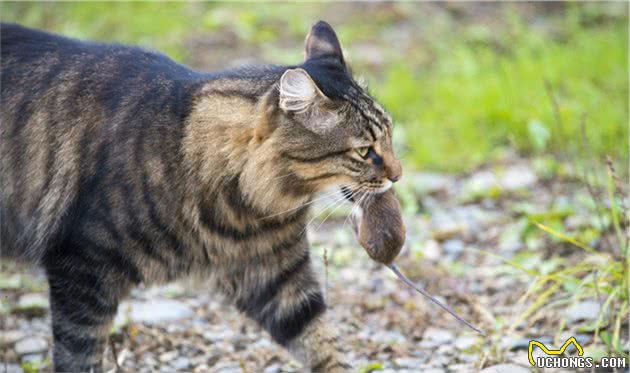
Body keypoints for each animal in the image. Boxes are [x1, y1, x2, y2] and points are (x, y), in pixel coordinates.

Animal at [1, 21, 400, 372]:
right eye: (364, 151)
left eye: (391, 135)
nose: (398, 175)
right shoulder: (82, 269)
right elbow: (78, 355)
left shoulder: (276, 277)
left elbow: (323, 343)